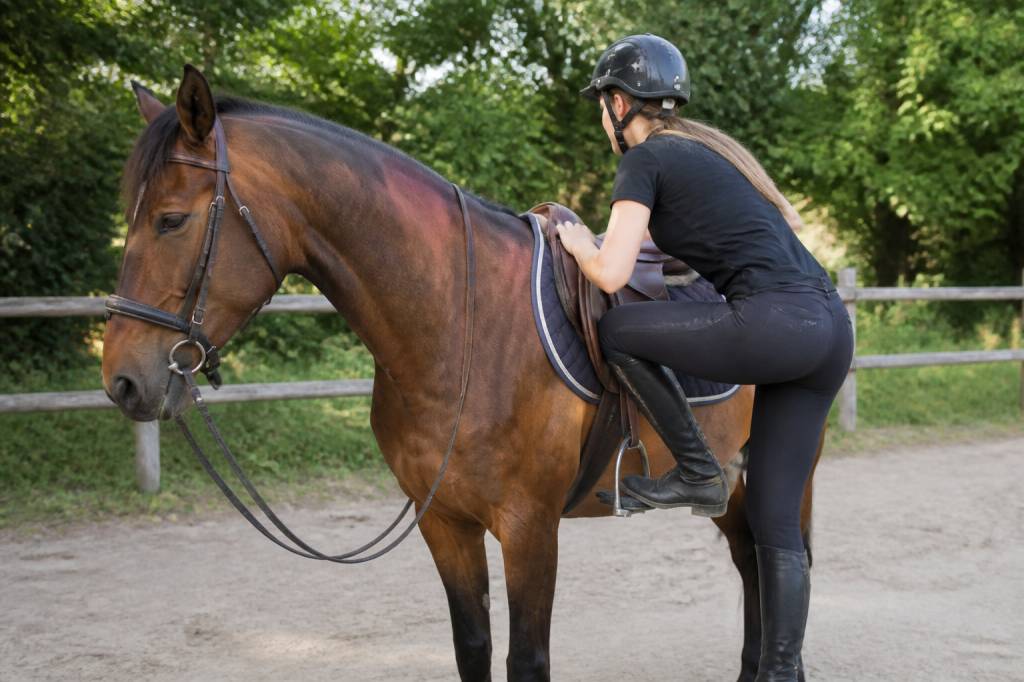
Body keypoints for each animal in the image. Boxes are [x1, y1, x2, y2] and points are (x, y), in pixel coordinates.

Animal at [101, 65, 821, 681]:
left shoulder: (530, 530)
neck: (461, 329)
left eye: (170, 220)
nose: (122, 381)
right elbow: (472, 646)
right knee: (752, 562)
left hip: (780, 477)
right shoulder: (444, 522)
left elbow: (526, 659)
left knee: (780, 562)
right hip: (730, 485)